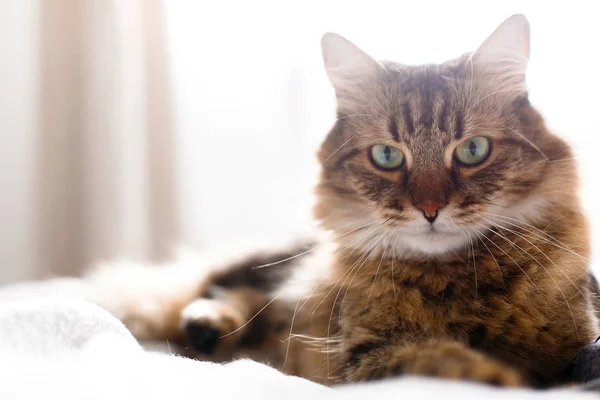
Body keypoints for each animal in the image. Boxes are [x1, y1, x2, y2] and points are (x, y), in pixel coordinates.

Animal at [94, 14, 600, 388]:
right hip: (279, 264)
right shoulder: (361, 353)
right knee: (225, 290)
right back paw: (206, 323)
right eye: (387, 156)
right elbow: (435, 357)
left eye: (473, 150)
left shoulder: (573, 341)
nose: (429, 209)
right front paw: (496, 376)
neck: (451, 280)